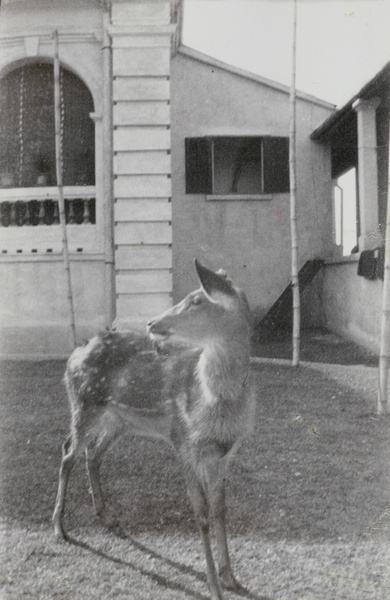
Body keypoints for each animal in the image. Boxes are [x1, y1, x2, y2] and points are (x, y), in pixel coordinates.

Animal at [53, 258, 258, 600]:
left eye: (197, 300)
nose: (151, 322)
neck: (215, 407)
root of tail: (75, 352)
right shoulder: (183, 441)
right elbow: (201, 513)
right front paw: (213, 586)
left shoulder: (225, 453)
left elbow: (220, 509)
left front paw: (232, 578)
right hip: (84, 404)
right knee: (68, 451)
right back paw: (58, 527)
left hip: (118, 420)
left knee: (93, 454)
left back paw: (108, 517)